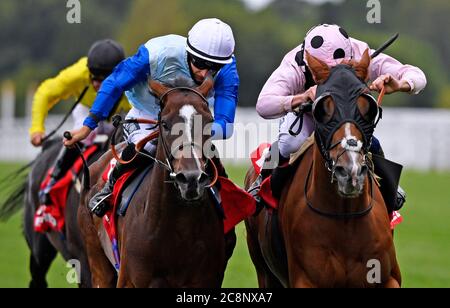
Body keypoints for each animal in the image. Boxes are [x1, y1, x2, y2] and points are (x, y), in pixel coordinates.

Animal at [78, 76, 236, 288]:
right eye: (165, 123)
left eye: (209, 122)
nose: (191, 178)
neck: (179, 226)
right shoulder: (130, 280)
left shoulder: (206, 280)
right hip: (98, 262)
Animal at [246, 49, 400, 288]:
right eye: (321, 109)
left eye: (368, 107)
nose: (350, 171)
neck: (345, 216)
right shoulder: (305, 279)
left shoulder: (389, 277)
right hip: (264, 270)